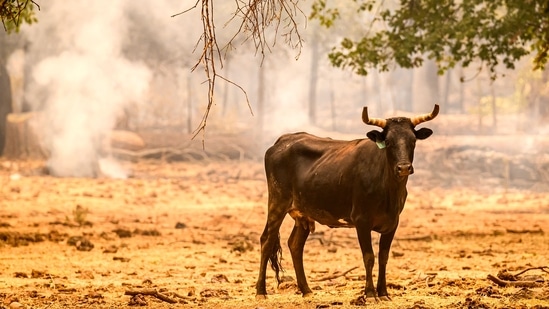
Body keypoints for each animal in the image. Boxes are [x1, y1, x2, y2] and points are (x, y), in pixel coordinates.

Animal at [255, 103, 438, 300]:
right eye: (388, 141)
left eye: (413, 140)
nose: (404, 167)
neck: (388, 188)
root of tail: (283, 140)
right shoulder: (361, 220)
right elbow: (369, 256)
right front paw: (370, 293)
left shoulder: (393, 222)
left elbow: (383, 256)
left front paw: (383, 292)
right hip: (277, 201)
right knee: (267, 240)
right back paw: (261, 291)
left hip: (303, 213)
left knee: (295, 245)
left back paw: (306, 290)